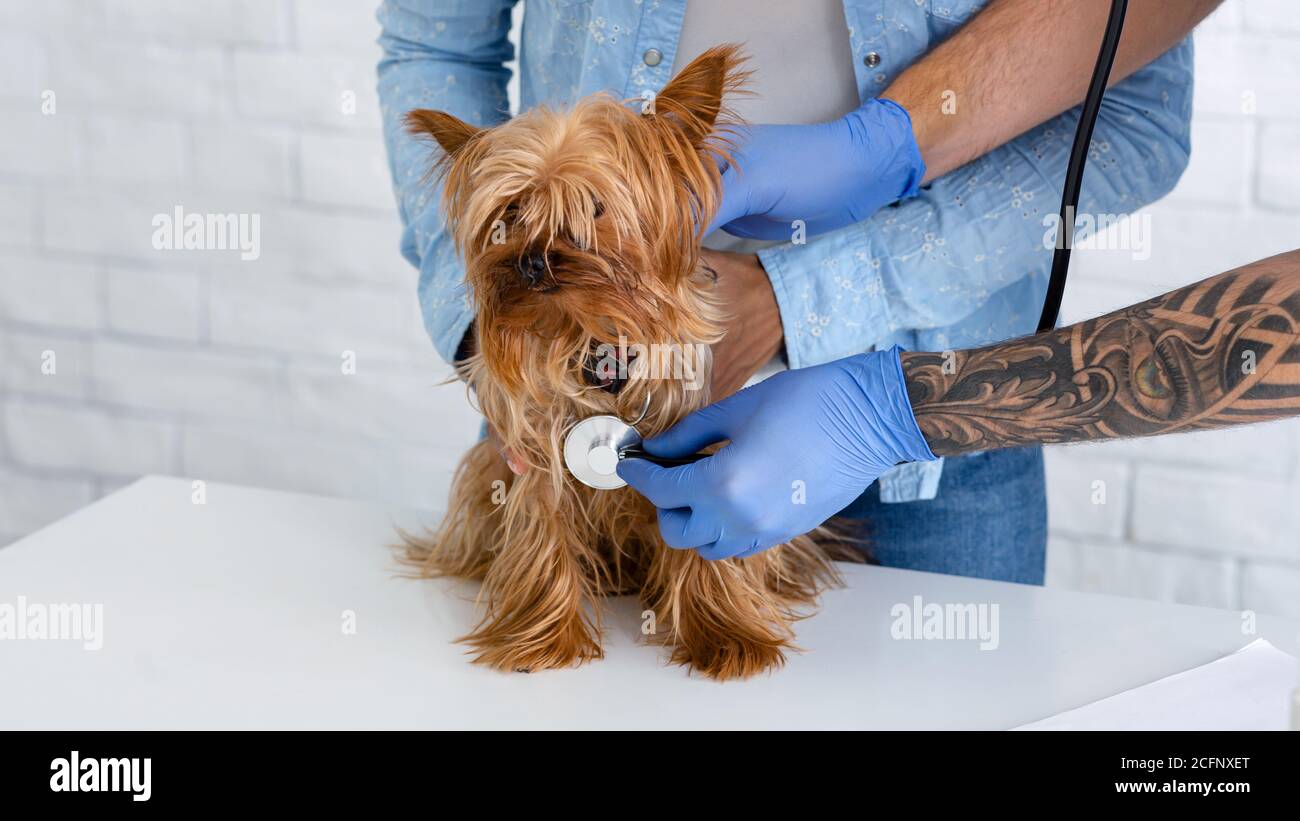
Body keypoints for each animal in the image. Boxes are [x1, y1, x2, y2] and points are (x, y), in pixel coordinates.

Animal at [403, 44, 852, 680]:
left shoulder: (696, 446)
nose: (533, 262)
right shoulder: (532, 448)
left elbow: (707, 536)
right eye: (510, 213)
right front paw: (544, 638)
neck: (589, 330)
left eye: (594, 207)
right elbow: (544, 528)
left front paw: (726, 635)